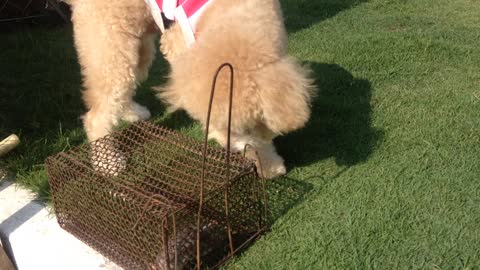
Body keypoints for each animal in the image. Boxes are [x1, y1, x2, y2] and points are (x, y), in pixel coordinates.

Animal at [158, 0, 316, 178]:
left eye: (246, 128)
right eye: (216, 124)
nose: (230, 149)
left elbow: (257, 142)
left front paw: (269, 167)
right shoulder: (177, 41)